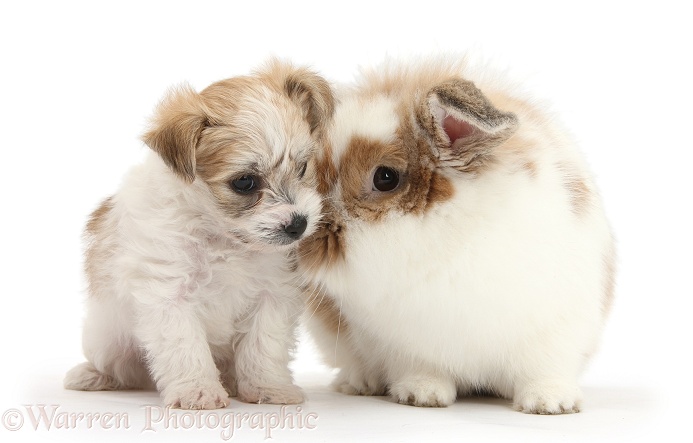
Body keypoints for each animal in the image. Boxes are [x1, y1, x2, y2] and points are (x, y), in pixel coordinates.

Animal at [63, 59, 334, 410]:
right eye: (244, 182)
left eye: (302, 168)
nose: (298, 223)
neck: (223, 236)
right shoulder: (169, 294)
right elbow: (185, 347)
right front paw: (199, 391)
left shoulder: (272, 294)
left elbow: (264, 345)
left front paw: (268, 388)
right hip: (106, 338)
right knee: (119, 367)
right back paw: (92, 375)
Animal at [300, 56, 612, 416]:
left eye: (385, 177)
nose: (308, 241)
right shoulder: (402, 343)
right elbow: (421, 370)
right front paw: (422, 395)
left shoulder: (557, 330)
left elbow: (545, 371)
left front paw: (550, 403)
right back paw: (360, 384)